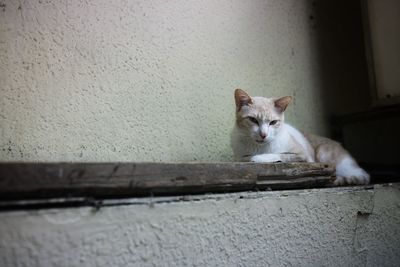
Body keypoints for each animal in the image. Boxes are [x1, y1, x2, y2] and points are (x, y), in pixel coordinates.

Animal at [233, 89, 370, 185]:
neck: (259, 147)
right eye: (253, 120)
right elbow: (243, 157)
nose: (263, 134)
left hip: (323, 153)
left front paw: (257, 158)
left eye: (273, 122)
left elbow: (280, 155)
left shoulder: (302, 156)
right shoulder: (239, 155)